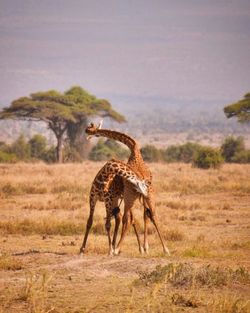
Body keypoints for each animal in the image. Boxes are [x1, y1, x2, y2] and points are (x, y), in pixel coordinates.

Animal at [85, 120, 170, 255]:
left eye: (91, 128)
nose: (86, 131)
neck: (134, 149)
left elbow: (128, 219)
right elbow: (143, 216)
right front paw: (144, 247)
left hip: (129, 197)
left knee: (127, 219)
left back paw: (117, 248)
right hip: (148, 196)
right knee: (152, 216)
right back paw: (164, 249)